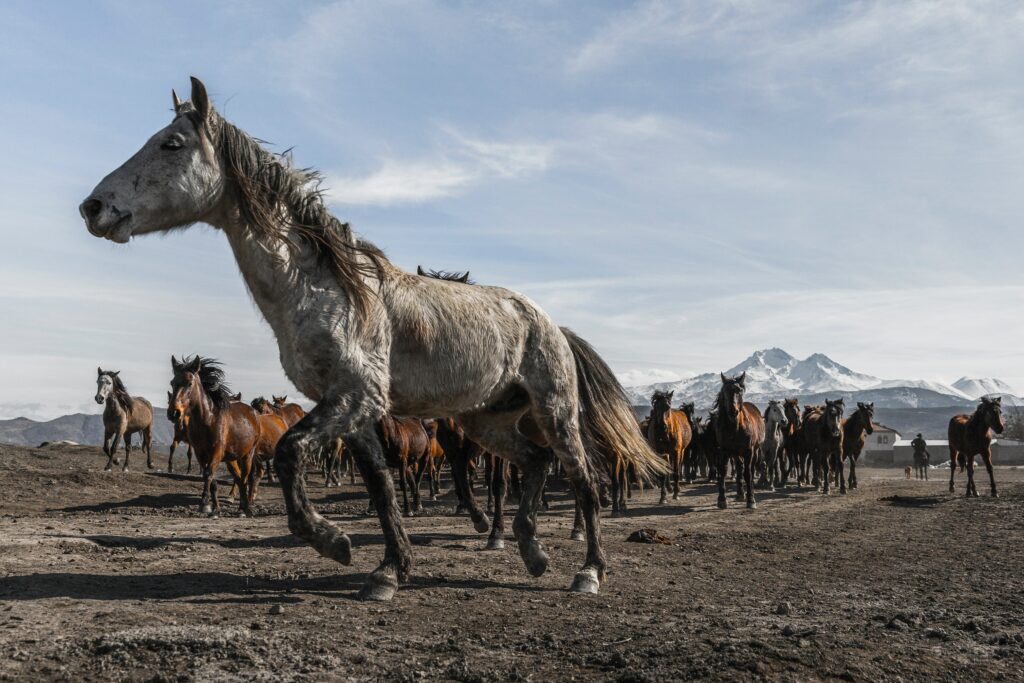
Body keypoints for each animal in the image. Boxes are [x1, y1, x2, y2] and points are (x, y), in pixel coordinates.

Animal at [169, 355, 260, 516]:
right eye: (172, 383)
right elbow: (212, 480)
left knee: (245, 477)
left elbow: (209, 474)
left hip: (248, 454)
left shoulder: (216, 452)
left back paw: (247, 508)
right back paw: (241, 507)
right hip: (232, 458)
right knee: (238, 478)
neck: (208, 419)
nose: (174, 413)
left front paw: (204, 504)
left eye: (189, 383)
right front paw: (215, 509)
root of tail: (254, 413)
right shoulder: (200, 453)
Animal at [713, 373, 765, 509]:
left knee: (749, 470)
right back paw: (740, 494)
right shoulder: (724, 451)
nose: (733, 411)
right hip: (736, 454)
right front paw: (722, 500)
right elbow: (723, 472)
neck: (735, 428)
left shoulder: (748, 451)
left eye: (739, 391)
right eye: (725, 391)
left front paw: (751, 500)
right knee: (740, 468)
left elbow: (748, 473)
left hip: (754, 451)